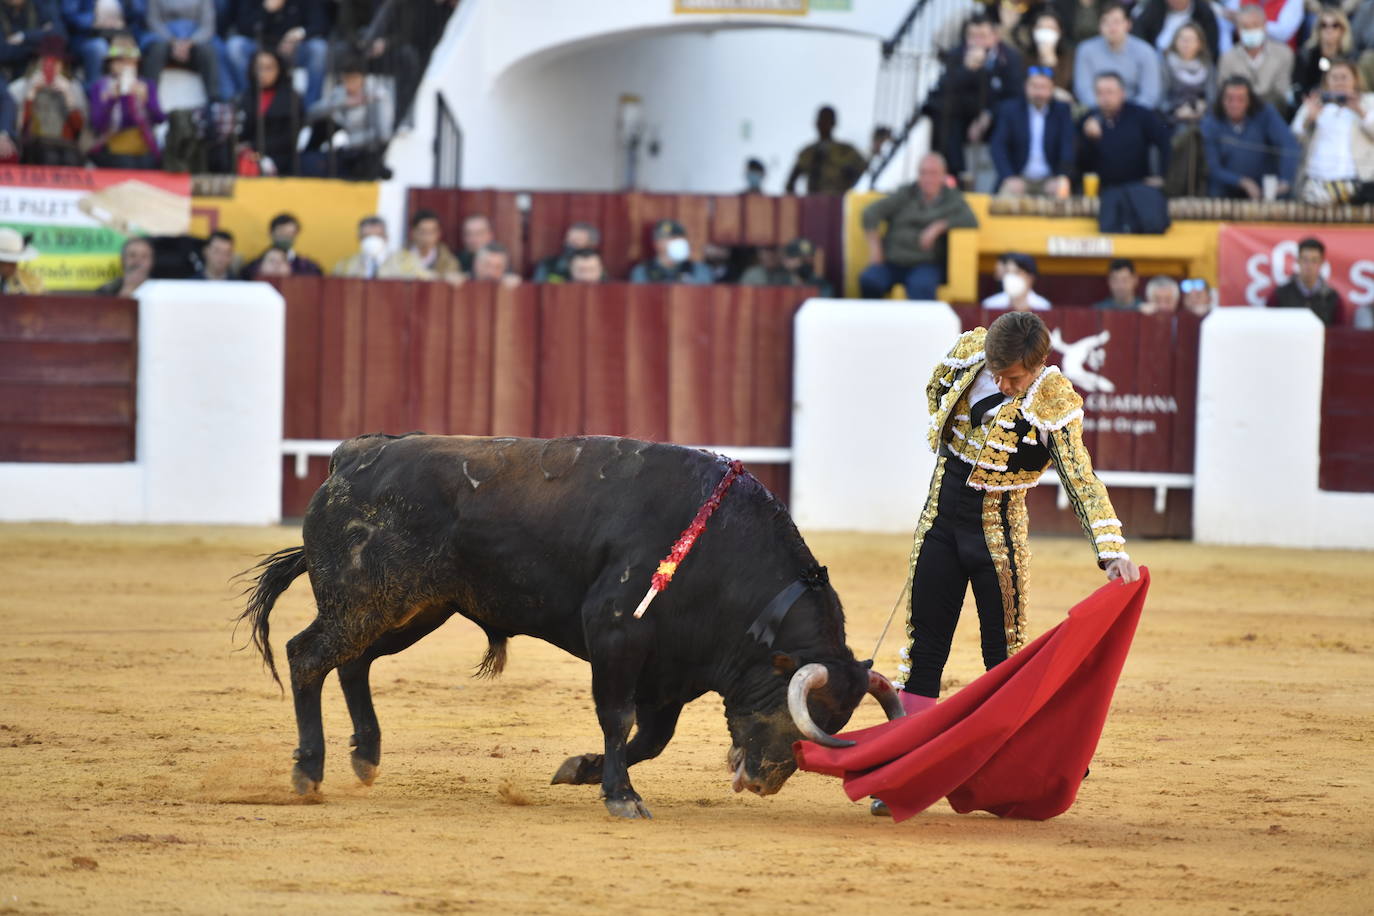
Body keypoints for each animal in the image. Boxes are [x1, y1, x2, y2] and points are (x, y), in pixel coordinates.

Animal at [236, 433, 901, 818]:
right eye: (796, 711)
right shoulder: (616, 633)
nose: (766, 781)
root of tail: (349, 457)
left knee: (354, 660)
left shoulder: (670, 671)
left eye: (836, 723)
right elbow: (619, 718)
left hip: (415, 608)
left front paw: (582, 772)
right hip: (371, 600)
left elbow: (650, 738)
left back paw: (366, 755)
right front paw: (621, 797)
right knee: (308, 655)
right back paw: (308, 771)